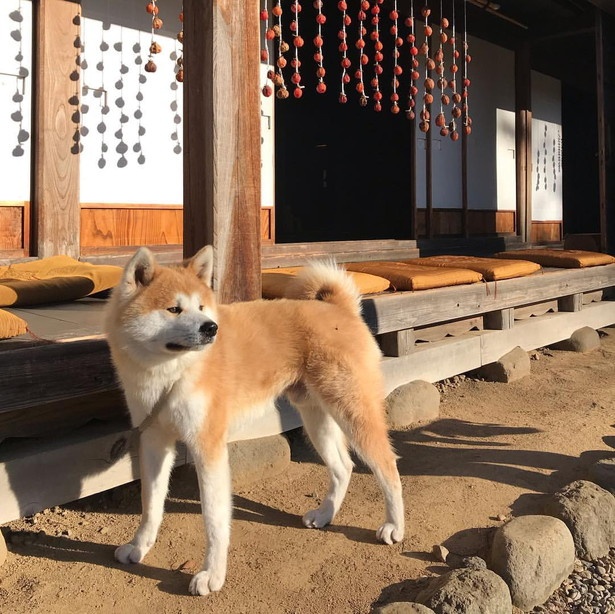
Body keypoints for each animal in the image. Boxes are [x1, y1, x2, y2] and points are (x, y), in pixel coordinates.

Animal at [106, 245, 404, 596]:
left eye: (201, 306)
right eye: (174, 309)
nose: (211, 328)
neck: (171, 373)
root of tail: (339, 308)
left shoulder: (208, 447)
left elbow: (214, 519)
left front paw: (212, 574)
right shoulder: (154, 440)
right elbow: (150, 504)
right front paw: (139, 547)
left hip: (352, 411)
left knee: (387, 467)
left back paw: (394, 525)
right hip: (314, 417)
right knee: (343, 467)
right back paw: (325, 514)